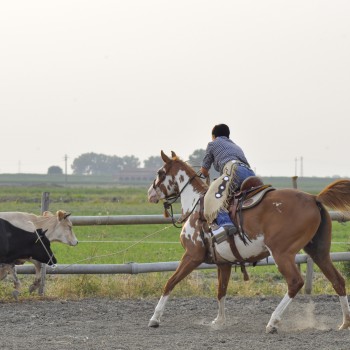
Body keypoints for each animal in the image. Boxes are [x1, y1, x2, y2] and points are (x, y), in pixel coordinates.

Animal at [148, 150, 350, 334]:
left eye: (160, 172)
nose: (150, 194)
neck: (197, 205)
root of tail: (313, 198)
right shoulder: (223, 263)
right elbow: (221, 290)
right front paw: (219, 321)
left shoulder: (192, 256)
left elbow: (170, 283)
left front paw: (155, 319)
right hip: (319, 251)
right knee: (338, 281)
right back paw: (344, 323)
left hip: (282, 253)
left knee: (295, 282)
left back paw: (272, 323)